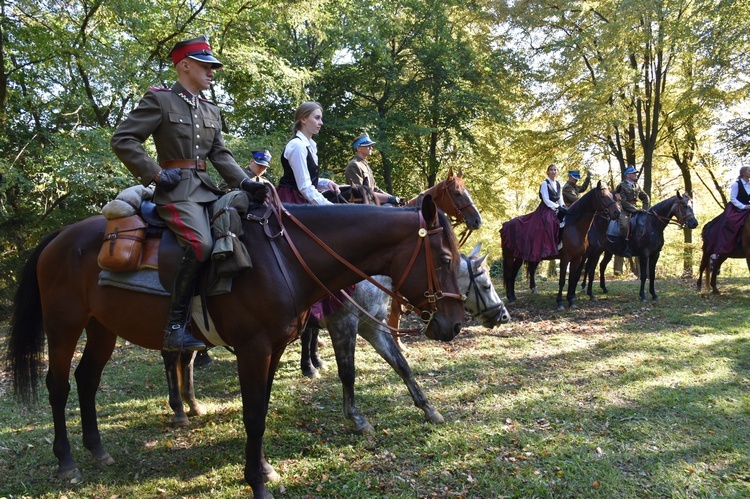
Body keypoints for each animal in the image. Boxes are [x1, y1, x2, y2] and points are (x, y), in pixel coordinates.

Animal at [5, 197, 464, 498]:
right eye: (444, 258)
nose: (455, 324)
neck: (284, 260)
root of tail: (60, 237)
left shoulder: (274, 348)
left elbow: (259, 411)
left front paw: (261, 468)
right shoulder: (254, 349)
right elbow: (255, 415)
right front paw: (257, 482)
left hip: (102, 327)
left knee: (87, 379)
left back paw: (98, 449)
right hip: (64, 325)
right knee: (59, 385)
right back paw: (67, 461)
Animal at [502, 182, 620, 310]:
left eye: (613, 197)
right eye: (603, 196)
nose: (617, 213)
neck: (574, 227)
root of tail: (506, 224)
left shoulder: (579, 258)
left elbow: (573, 278)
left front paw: (571, 300)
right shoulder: (566, 258)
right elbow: (563, 280)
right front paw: (560, 302)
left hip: (519, 256)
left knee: (514, 274)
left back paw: (513, 296)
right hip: (510, 256)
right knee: (509, 273)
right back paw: (511, 297)